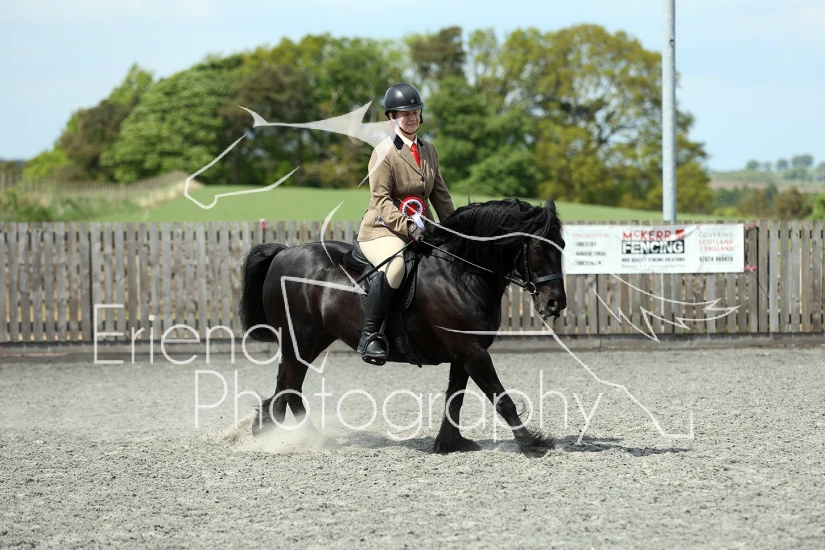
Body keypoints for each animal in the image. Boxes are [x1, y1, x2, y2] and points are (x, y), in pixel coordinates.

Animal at [238, 197, 567, 457]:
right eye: (538, 248)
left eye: (562, 246)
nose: (555, 303)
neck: (461, 273)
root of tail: (283, 253)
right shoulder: (471, 351)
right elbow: (501, 399)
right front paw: (532, 444)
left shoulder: (464, 352)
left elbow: (455, 398)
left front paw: (449, 443)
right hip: (302, 340)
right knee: (292, 389)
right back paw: (312, 440)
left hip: (313, 340)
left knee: (284, 386)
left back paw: (270, 429)